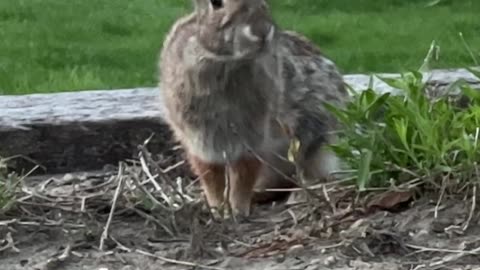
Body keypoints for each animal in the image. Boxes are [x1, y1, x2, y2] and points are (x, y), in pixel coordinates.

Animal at [158, 0, 348, 219]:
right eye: (216, 3)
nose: (262, 31)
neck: (225, 62)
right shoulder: (200, 143)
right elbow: (212, 178)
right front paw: (218, 211)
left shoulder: (253, 138)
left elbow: (243, 176)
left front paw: (238, 211)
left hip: (319, 143)